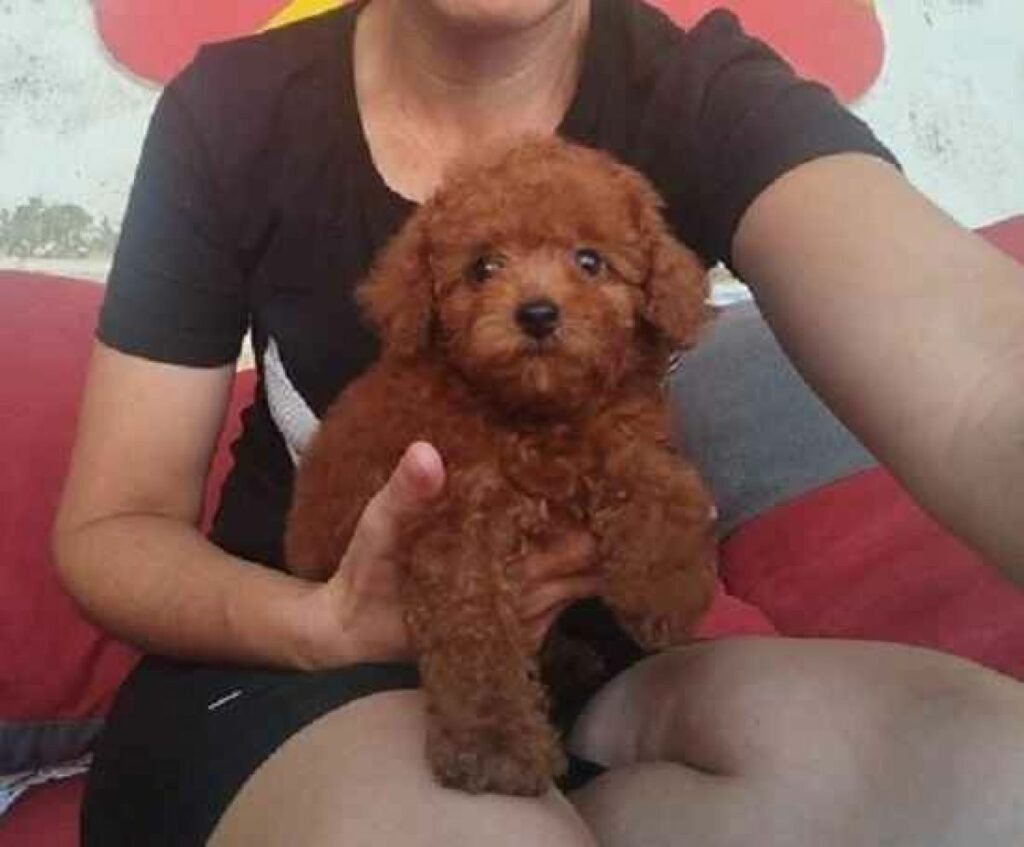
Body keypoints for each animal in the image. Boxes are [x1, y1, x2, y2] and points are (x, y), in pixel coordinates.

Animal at [285, 137, 717, 796]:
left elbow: (663, 484)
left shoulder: (623, 434)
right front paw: (493, 747)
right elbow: (475, 633)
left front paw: (665, 588)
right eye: (484, 268)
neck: (535, 414)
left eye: (589, 261)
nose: (537, 313)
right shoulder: (456, 523)